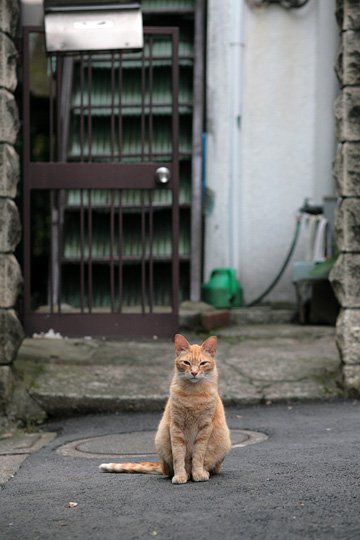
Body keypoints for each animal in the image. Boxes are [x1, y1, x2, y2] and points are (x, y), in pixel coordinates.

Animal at [100, 334, 232, 486]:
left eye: (203, 363)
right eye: (186, 363)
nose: (194, 372)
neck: (193, 394)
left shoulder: (205, 428)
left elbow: (198, 455)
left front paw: (198, 473)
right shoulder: (176, 427)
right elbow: (178, 456)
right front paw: (180, 476)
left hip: (223, 443)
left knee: (212, 467)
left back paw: (201, 472)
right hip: (161, 439)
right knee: (170, 470)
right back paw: (186, 474)